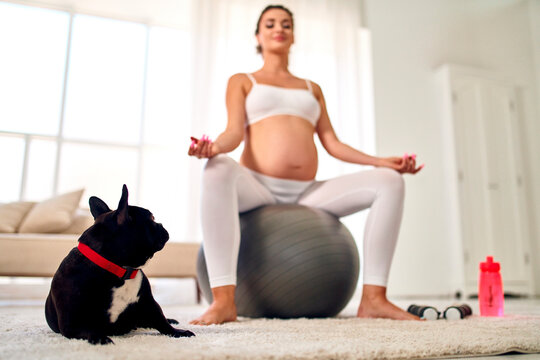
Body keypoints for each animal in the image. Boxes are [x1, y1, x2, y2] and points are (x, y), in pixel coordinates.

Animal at [44, 184, 194, 344]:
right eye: (152, 219)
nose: (161, 224)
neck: (120, 270)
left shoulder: (149, 304)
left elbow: (161, 321)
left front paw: (178, 331)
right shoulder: (72, 324)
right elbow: (88, 330)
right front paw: (100, 338)